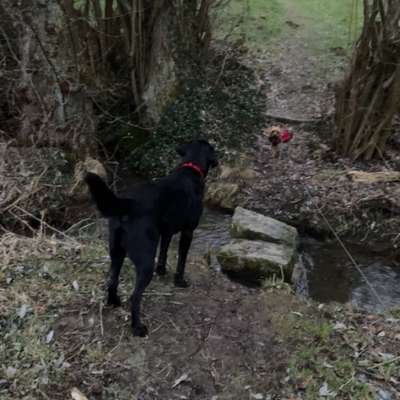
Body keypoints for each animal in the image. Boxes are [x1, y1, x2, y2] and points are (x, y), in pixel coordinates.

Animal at [84, 139, 216, 336]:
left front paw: (161, 270)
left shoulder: (166, 232)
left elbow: (164, 252)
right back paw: (138, 328)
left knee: (112, 280)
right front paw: (180, 281)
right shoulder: (188, 232)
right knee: (135, 296)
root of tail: (129, 204)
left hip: (116, 251)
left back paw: (114, 303)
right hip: (145, 259)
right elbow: (182, 260)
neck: (190, 168)